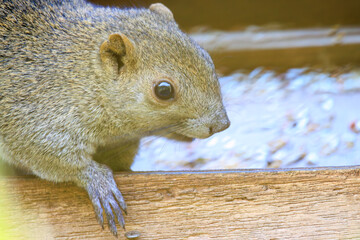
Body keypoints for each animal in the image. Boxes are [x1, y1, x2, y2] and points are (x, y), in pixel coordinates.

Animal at [0, 0, 231, 236]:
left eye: (207, 58)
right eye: (164, 90)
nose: (221, 124)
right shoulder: (32, 114)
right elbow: (55, 157)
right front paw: (99, 183)